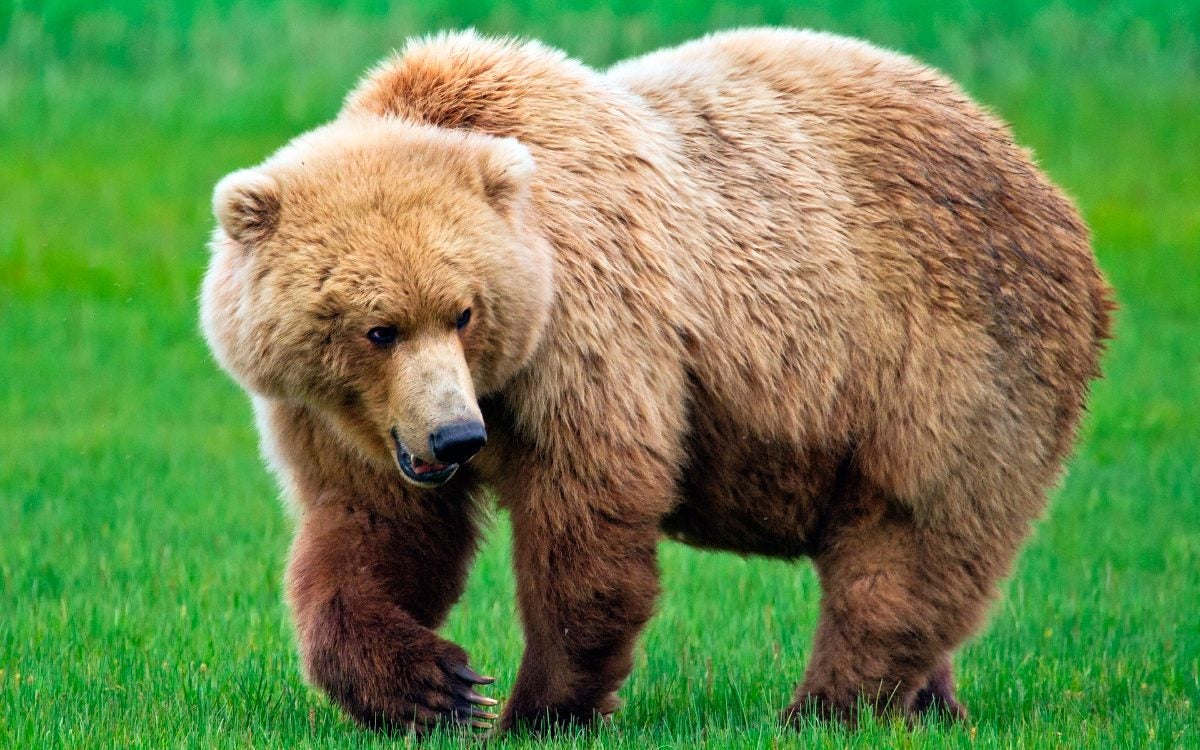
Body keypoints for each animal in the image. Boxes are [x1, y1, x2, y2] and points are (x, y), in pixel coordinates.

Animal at [200, 28, 1113, 735]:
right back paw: (930, 702)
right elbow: (371, 531)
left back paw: (827, 706)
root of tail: (1044, 181)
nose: (457, 439)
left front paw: (537, 708)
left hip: (948, 354)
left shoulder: (589, 327)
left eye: (463, 311)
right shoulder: (343, 417)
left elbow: (589, 512)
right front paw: (436, 686)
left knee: (909, 536)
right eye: (377, 328)